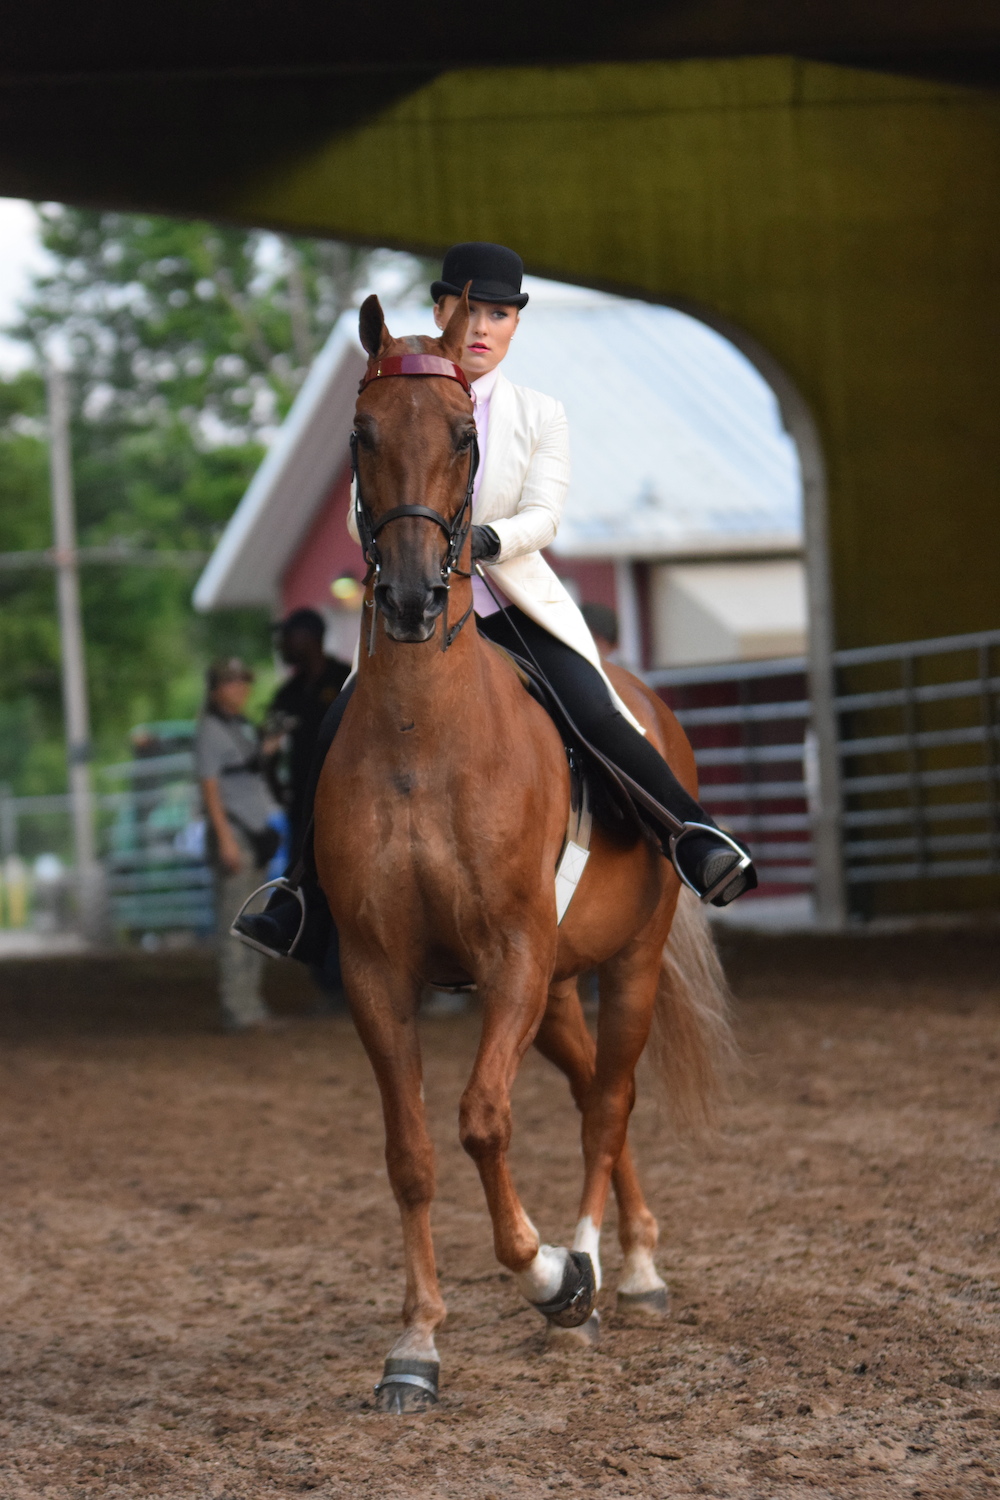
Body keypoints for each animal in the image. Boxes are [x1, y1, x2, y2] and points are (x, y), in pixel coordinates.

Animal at [314, 289, 734, 1404]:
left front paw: (551, 1279)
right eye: (362, 435)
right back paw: (620, 1259)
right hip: (554, 991)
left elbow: (482, 1121)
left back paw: (610, 1271)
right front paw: (415, 1345)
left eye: (466, 438)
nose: (412, 599)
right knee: (593, 1092)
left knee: (611, 1098)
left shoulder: (509, 952)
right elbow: (411, 1152)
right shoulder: (378, 972)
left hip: (624, 963)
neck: (423, 736)